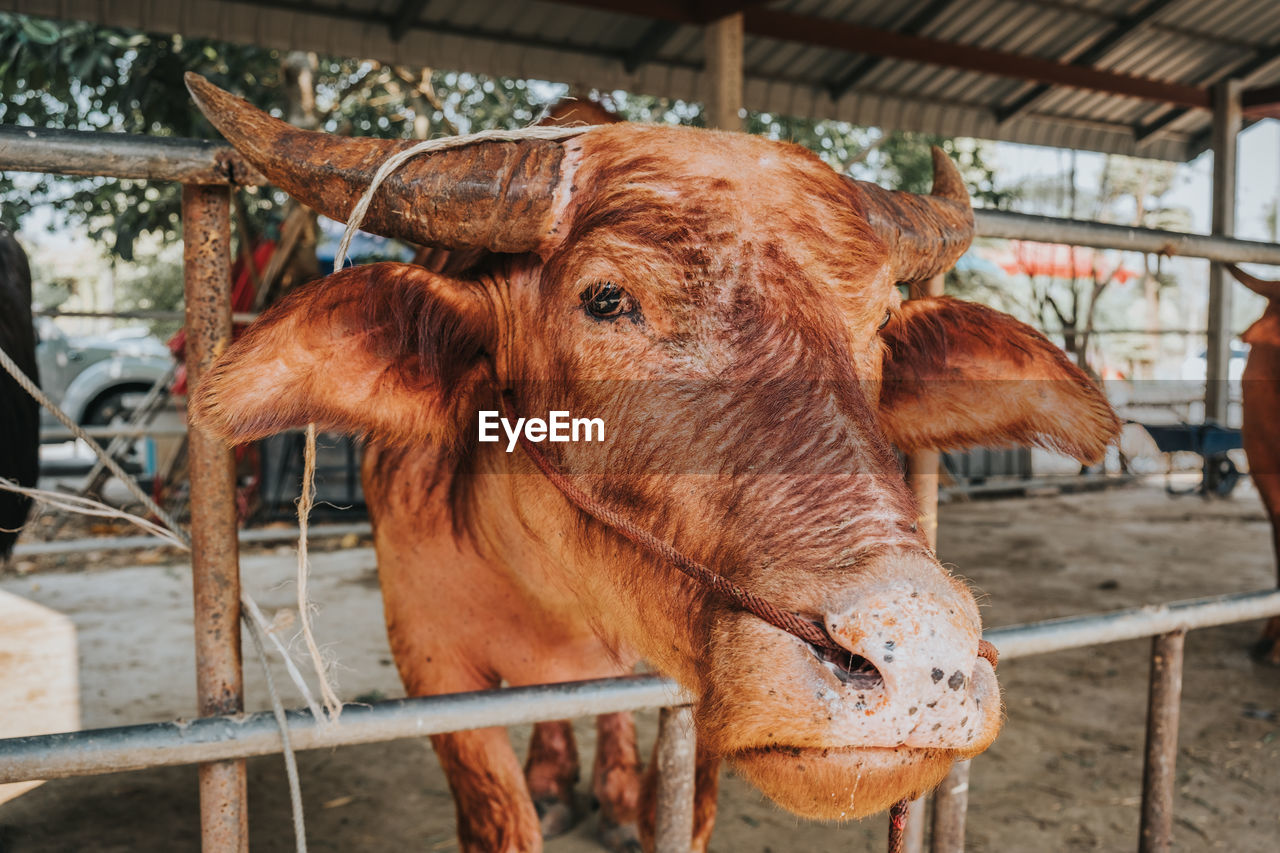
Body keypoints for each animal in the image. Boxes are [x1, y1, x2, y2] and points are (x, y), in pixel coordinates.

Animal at [185, 74, 1116, 850]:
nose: (920, 654)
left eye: (880, 322)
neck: (552, 591)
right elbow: (500, 815)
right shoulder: (431, 664)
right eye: (605, 299)